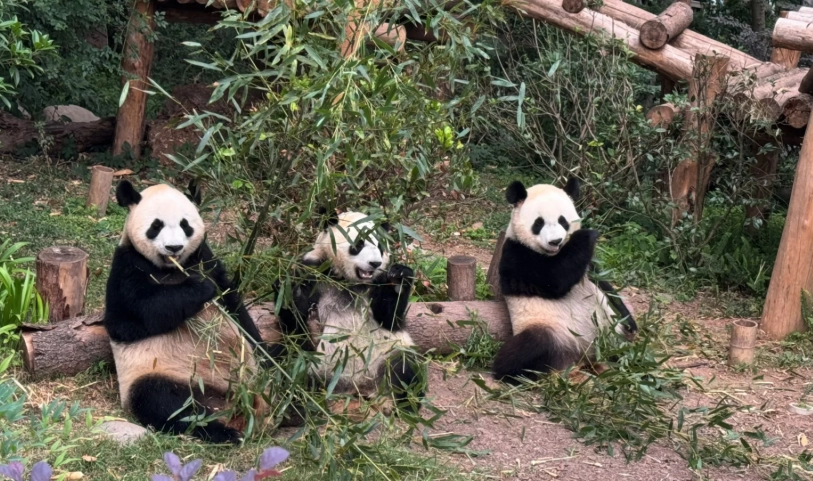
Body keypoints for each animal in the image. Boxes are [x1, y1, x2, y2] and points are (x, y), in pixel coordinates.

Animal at [103, 180, 269, 444]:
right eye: (156, 226)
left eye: (185, 225)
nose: (174, 247)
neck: (172, 268)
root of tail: (235, 407)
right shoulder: (127, 266)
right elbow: (131, 318)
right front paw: (199, 287)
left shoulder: (206, 259)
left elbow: (237, 309)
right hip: (165, 374)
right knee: (162, 401)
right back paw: (222, 432)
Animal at [274, 210, 425, 415]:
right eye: (358, 245)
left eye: (380, 247)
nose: (375, 263)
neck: (348, 280)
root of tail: (357, 389)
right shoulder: (312, 271)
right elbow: (295, 320)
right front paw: (286, 290)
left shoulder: (378, 280)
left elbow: (389, 318)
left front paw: (399, 278)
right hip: (315, 364)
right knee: (292, 370)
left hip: (386, 355)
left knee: (404, 366)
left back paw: (405, 405)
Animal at [492, 177, 637, 384]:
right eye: (539, 223)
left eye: (563, 221)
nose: (555, 241)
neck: (553, 254)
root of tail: (582, 357)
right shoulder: (516, 254)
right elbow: (554, 280)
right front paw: (588, 235)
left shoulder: (589, 268)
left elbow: (607, 288)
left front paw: (631, 323)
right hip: (550, 329)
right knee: (527, 348)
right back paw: (515, 372)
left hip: (610, 329)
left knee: (620, 341)